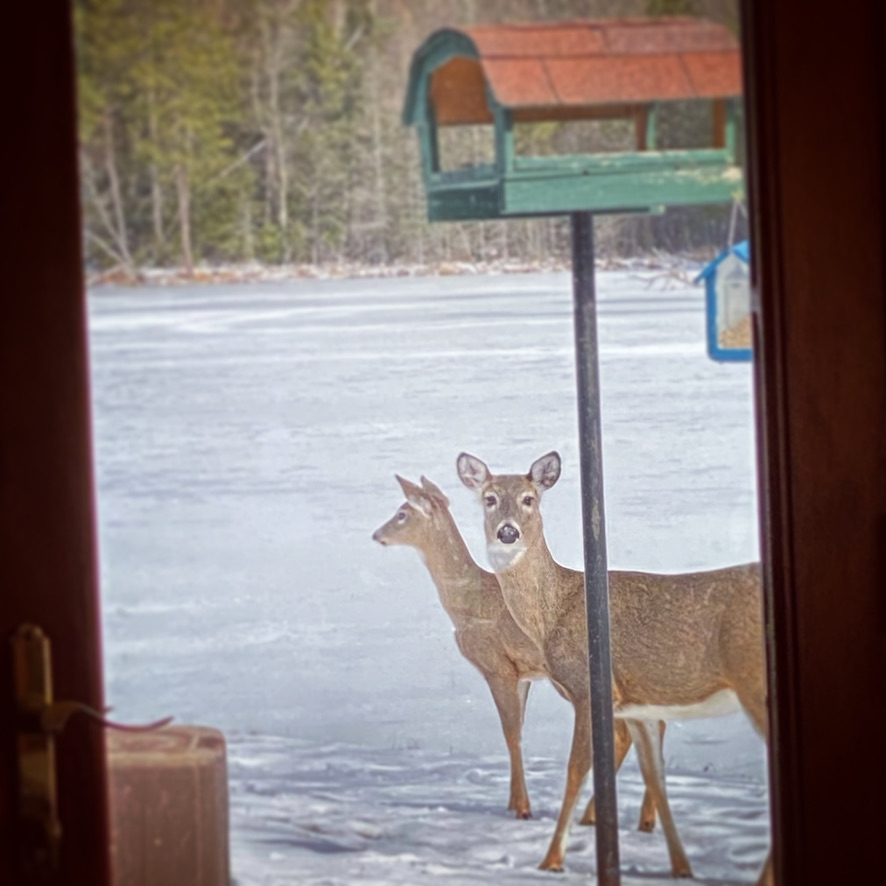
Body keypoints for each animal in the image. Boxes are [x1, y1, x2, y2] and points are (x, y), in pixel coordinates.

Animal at [372, 476, 656, 828]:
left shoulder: (498, 667)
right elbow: (517, 730)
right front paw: (512, 802)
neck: (469, 602)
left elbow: (510, 733)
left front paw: (522, 807)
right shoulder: (524, 673)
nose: (377, 534)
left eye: (402, 513)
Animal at [458, 454, 772, 884]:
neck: (556, 612)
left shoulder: (589, 688)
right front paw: (681, 867)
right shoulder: (636, 706)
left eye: (528, 498)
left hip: (753, 682)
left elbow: (576, 770)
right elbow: (655, 777)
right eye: (489, 499)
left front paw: (550, 861)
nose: (508, 532)